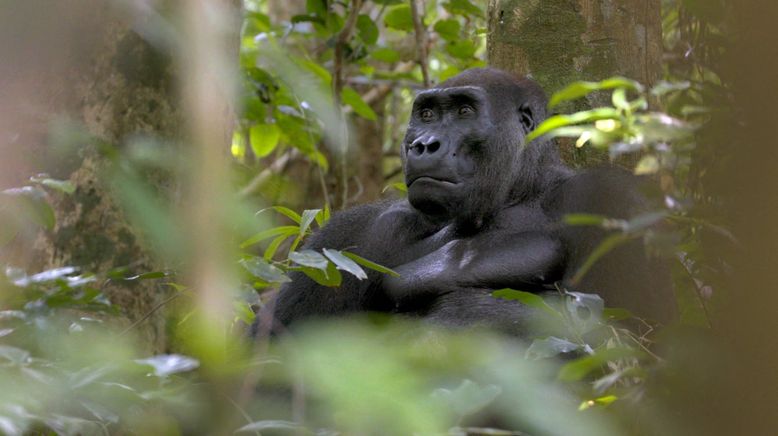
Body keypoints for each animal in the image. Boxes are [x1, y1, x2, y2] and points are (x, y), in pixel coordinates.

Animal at [260, 68, 672, 336]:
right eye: (426, 114)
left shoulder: (610, 198)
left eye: (464, 111)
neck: (516, 193)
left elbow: (641, 331)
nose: (423, 144)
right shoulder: (355, 233)